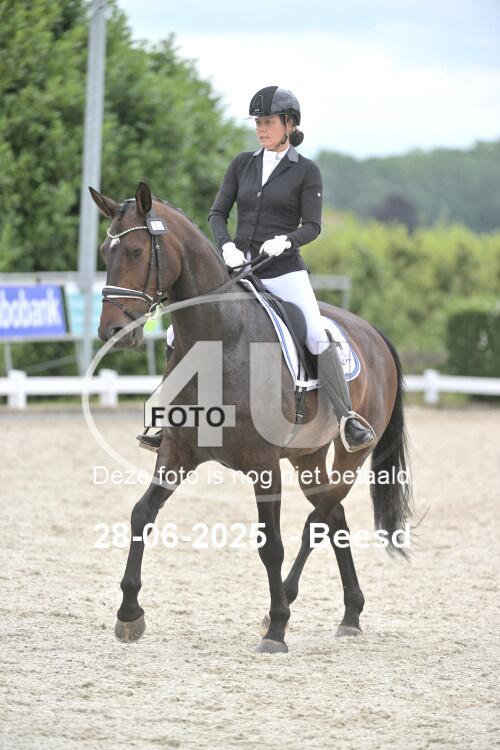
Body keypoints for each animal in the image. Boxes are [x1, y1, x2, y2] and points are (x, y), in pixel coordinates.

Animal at [90, 181, 412, 653]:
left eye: (134, 251)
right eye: (103, 252)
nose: (112, 332)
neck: (222, 339)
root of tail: (371, 332)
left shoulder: (263, 466)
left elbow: (271, 545)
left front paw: (277, 629)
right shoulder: (177, 452)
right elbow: (141, 515)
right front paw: (129, 613)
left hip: (351, 456)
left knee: (318, 522)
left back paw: (286, 609)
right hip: (307, 458)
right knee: (333, 519)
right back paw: (350, 614)